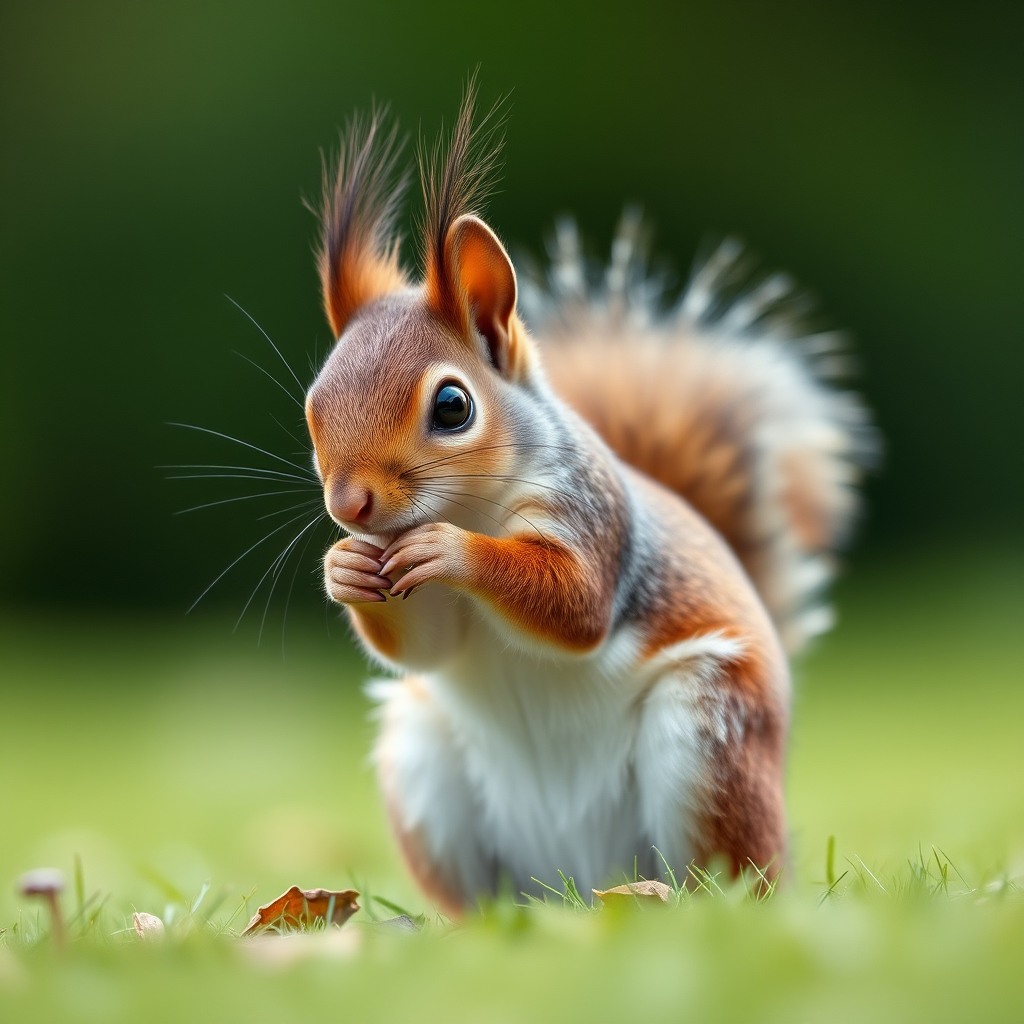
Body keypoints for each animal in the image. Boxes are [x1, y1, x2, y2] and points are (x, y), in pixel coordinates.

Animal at [304, 83, 875, 913]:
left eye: (452, 406)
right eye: (311, 406)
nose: (351, 509)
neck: (471, 505)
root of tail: (575, 882)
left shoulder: (593, 517)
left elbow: (575, 605)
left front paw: (453, 550)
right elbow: (427, 645)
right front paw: (343, 569)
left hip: (709, 733)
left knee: (735, 878)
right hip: (423, 760)